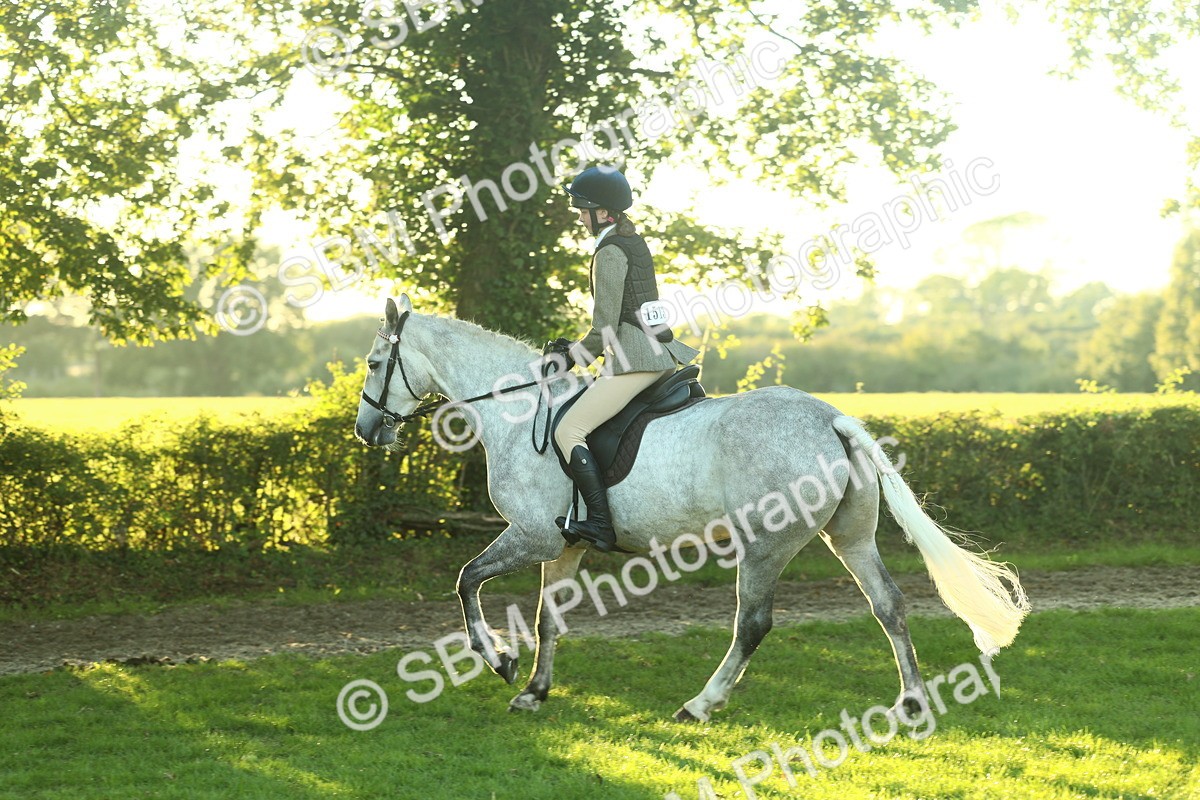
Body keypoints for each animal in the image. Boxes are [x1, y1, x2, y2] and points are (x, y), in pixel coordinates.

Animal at [354, 294, 1030, 721]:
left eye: (375, 362)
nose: (366, 430)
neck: (520, 412)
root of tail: (829, 418)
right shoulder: (564, 546)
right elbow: (549, 619)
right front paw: (534, 692)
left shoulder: (533, 536)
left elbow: (466, 580)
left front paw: (498, 660)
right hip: (851, 538)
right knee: (888, 604)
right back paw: (910, 703)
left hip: (764, 546)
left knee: (752, 624)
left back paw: (699, 705)